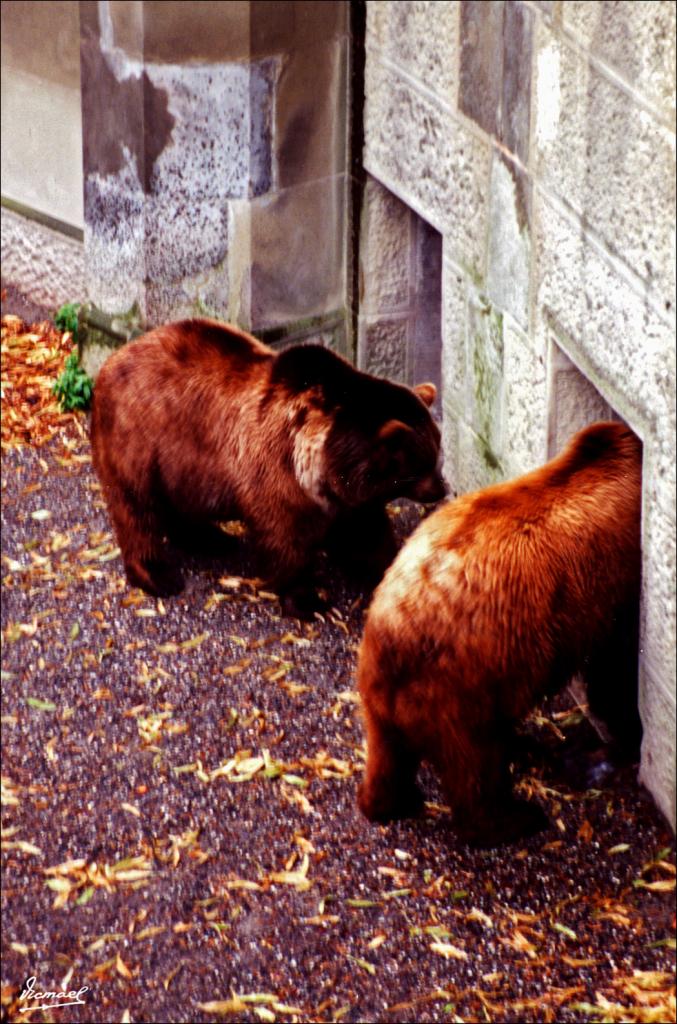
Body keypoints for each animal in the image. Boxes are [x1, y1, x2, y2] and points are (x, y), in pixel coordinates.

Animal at [91, 315, 448, 610]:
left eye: (436, 455)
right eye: (422, 465)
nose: (442, 489)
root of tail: (110, 363)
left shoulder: (347, 496)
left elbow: (366, 533)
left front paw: (390, 569)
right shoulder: (276, 472)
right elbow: (284, 539)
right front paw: (308, 600)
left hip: (179, 466)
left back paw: (213, 538)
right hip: (140, 441)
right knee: (137, 509)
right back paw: (158, 575)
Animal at [356, 419, 643, 843]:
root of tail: (393, 634)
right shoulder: (613, 583)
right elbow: (616, 671)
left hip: (382, 693)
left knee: (387, 756)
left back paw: (391, 802)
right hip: (465, 682)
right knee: (476, 762)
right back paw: (513, 817)